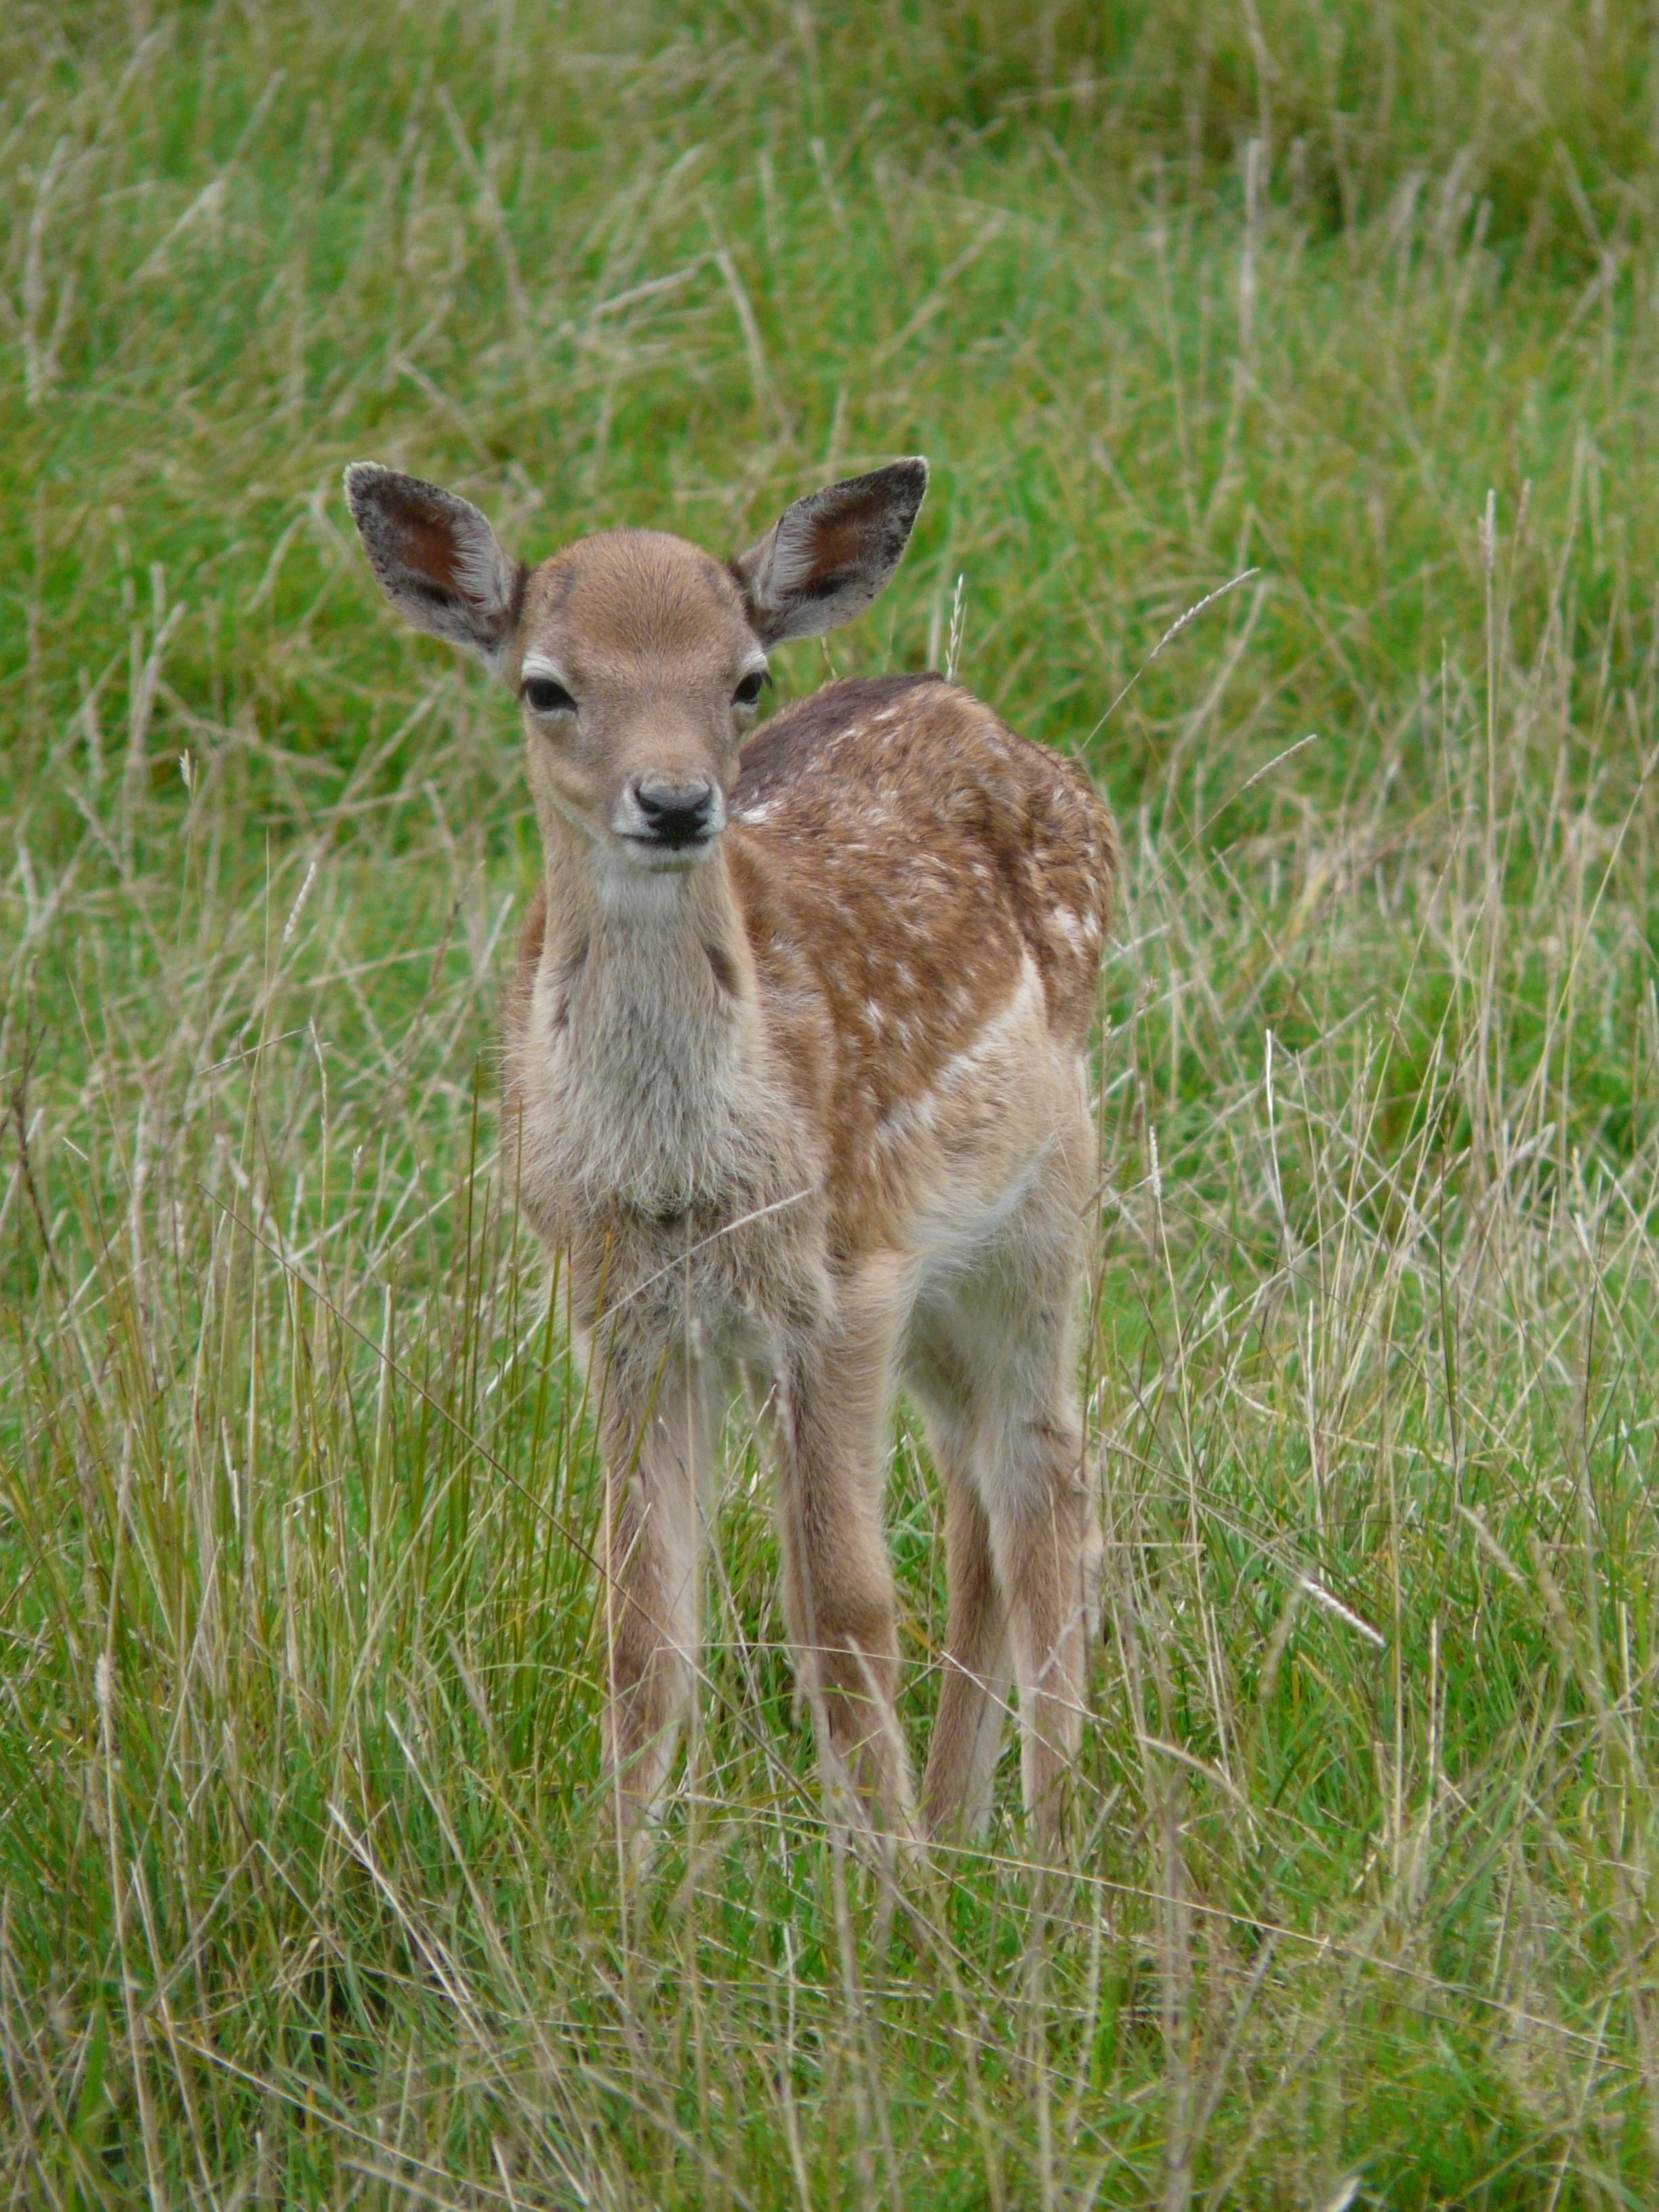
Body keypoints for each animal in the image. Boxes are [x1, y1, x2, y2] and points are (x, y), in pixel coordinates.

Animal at [345, 456, 1117, 1857]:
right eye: (547, 685)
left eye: (743, 678)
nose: (674, 801)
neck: (680, 1171)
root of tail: (990, 718)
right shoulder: (620, 1302)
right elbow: (642, 1628)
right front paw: (623, 1880)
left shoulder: (837, 1280)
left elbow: (846, 1612)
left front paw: (890, 1886)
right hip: (931, 1278)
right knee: (977, 1500)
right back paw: (962, 1817)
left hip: (1038, 1205)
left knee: (1046, 1486)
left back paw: (1045, 1850)